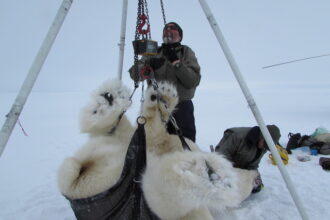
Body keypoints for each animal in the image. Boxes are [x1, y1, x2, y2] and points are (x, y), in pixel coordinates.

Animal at [58, 79, 256, 220]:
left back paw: (206, 173)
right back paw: (109, 100)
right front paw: (162, 97)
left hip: (108, 182)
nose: (255, 175)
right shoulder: (167, 142)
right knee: (109, 128)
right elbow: (154, 131)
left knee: (156, 188)